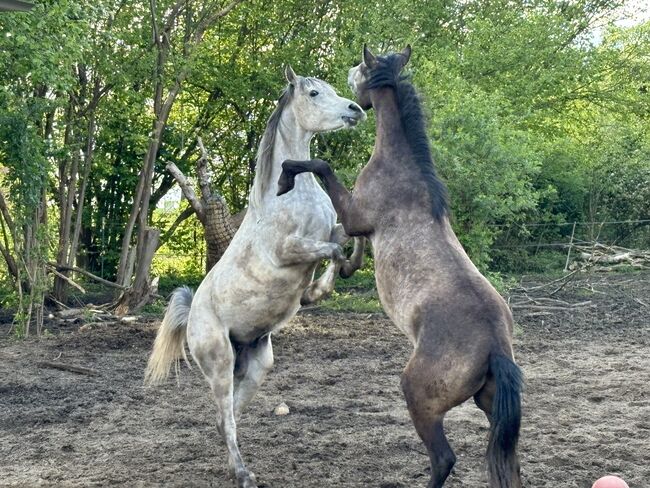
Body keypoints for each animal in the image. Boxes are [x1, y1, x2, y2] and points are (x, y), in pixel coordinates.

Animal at [146, 67, 364, 488]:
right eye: (314, 93)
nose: (356, 110)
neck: (289, 194)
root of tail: (192, 314)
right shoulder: (288, 250)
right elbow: (331, 252)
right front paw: (316, 291)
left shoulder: (330, 230)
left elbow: (349, 236)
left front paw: (345, 270)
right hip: (218, 362)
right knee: (226, 420)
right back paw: (244, 474)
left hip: (256, 366)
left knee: (225, 418)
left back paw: (235, 468)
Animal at [278, 43, 520, 486]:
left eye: (359, 70)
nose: (354, 103)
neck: (401, 169)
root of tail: (495, 346)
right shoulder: (359, 223)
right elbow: (349, 241)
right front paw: (347, 269)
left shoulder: (356, 213)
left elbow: (321, 169)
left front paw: (285, 179)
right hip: (492, 408)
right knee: (507, 465)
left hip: (418, 397)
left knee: (443, 458)